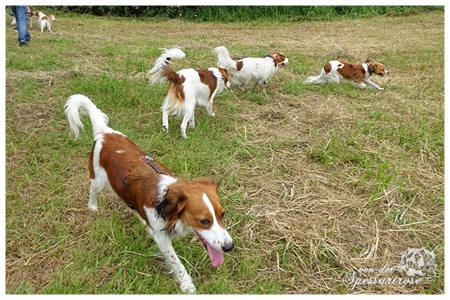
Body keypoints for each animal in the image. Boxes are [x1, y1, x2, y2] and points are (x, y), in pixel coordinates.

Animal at [65, 95, 234, 294]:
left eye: (222, 214)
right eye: (204, 221)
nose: (229, 246)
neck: (165, 202)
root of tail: (105, 133)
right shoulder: (162, 239)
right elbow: (176, 262)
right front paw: (186, 284)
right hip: (98, 179)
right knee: (92, 190)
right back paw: (92, 206)